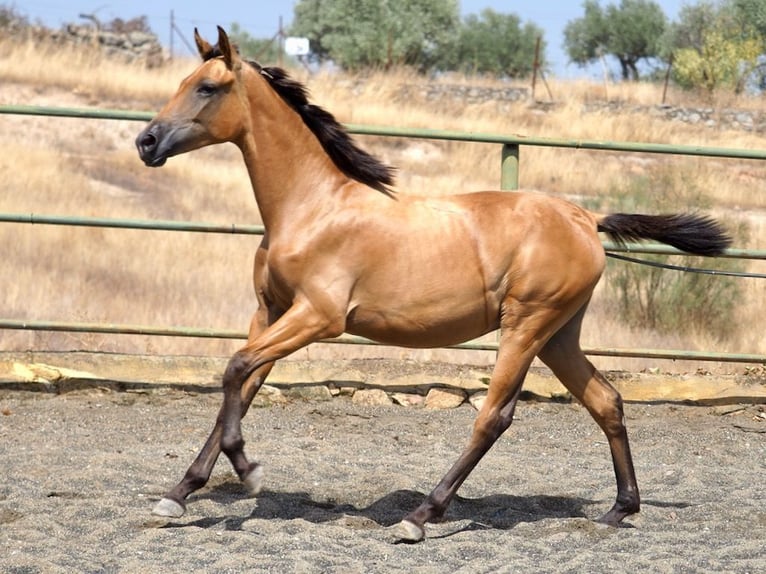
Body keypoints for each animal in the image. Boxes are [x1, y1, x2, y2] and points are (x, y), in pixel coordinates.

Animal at [135, 27, 731, 542]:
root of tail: (586, 217)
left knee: (494, 417)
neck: (313, 207)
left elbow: (236, 369)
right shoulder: (271, 311)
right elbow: (241, 384)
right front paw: (179, 494)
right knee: (606, 400)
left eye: (207, 87)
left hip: (526, 325)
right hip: (559, 333)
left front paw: (247, 469)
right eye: (184, 81)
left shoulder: (318, 317)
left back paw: (421, 516)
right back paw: (619, 509)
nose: (146, 141)